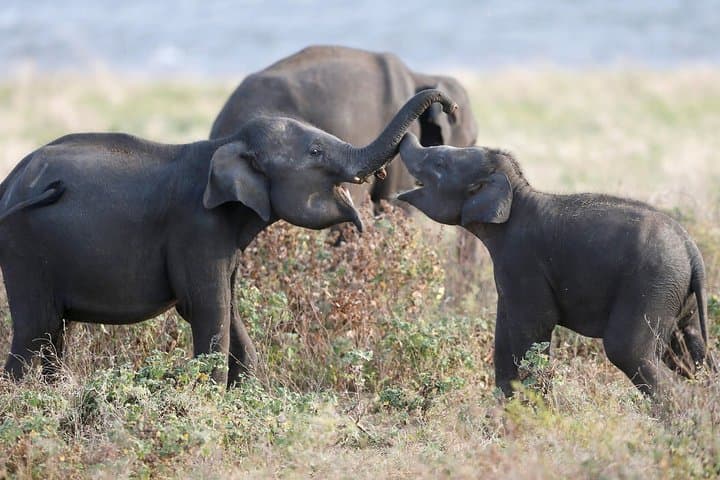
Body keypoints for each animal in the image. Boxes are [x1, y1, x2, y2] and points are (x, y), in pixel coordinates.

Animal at [0, 90, 457, 386]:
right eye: (315, 152)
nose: (448, 105)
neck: (227, 142)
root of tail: (9, 184)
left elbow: (230, 308)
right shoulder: (197, 228)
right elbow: (207, 308)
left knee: (55, 333)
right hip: (23, 248)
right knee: (36, 330)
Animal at [397, 133, 710, 396]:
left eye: (440, 163)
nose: (408, 135)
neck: (517, 193)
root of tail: (692, 251)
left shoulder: (522, 260)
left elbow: (535, 328)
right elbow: (504, 339)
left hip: (651, 285)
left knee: (629, 351)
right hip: (676, 294)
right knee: (690, 350)